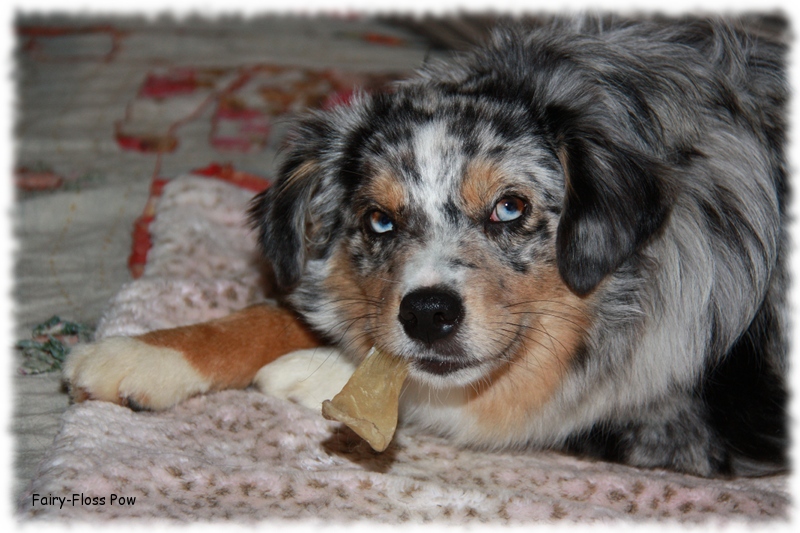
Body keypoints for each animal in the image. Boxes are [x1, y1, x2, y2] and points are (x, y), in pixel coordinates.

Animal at [65, 14, 792, 476]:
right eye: (380, 221)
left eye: (510, 207)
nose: (427, 315)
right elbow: (276, 312)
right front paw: (143, 353)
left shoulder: (679, 427)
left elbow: (479, 403)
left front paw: (321, 374)